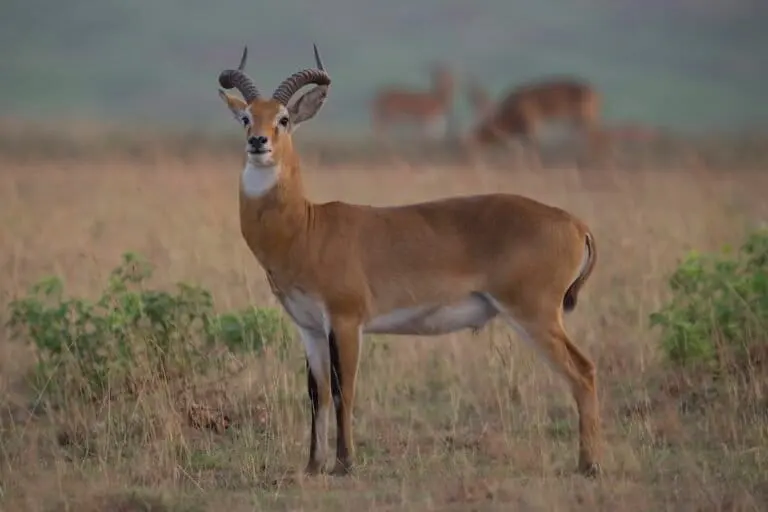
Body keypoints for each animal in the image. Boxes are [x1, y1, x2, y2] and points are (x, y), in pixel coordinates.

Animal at [217, 45, 603, 478]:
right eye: (247, 117)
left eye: (283, 118)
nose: (258, 142)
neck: (306, 228)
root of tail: (575, 223)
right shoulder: (310, 327)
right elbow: (317, 394)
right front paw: (314, 465)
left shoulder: (346, 321)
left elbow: (344, 389)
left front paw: (345, 463)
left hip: (534, 313)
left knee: (583, 371)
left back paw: (589, 465)